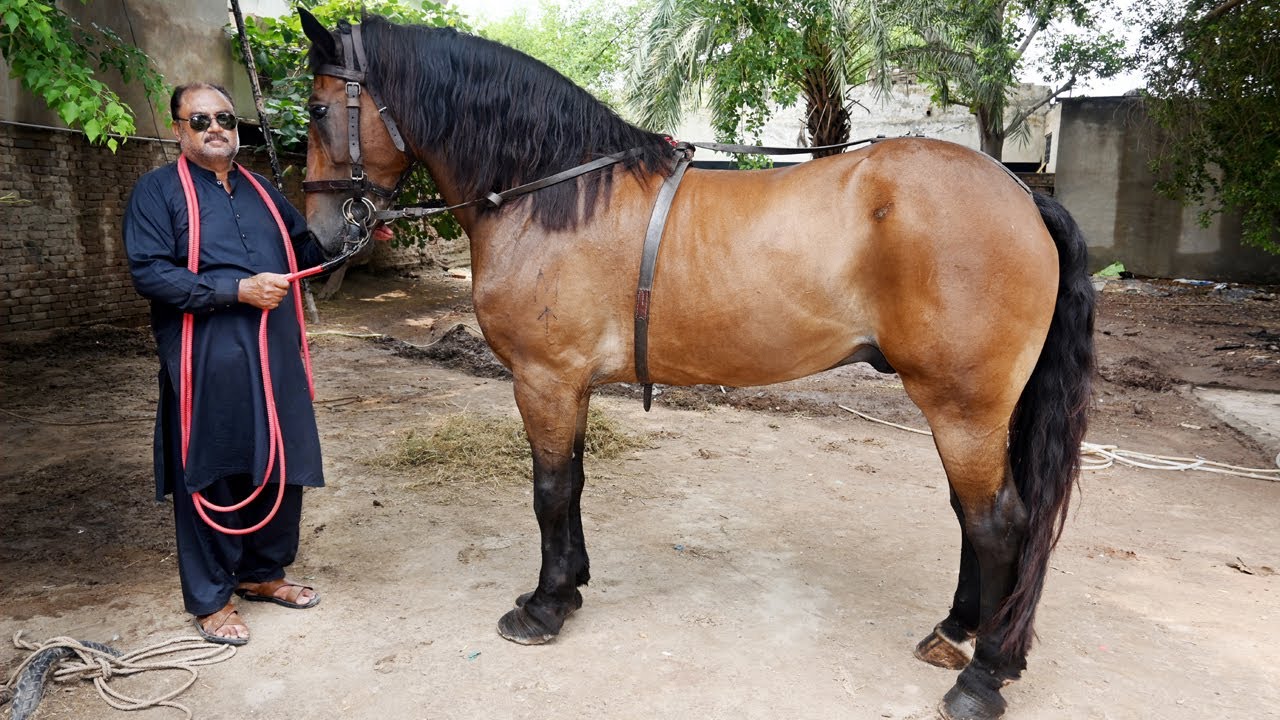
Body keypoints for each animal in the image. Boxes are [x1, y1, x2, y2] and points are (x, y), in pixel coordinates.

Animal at [298, 11, 1094, 719]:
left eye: (315, 107)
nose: (319, 237)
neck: (555, 193)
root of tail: (1022, 193)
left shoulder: (544, 380)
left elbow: (550, 491)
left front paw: (545, 606)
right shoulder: (568, 386)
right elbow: (574, 483)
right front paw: (573, 584)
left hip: (963, 407)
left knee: (998, 523)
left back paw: (984, 675)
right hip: (975, 410)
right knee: (973, 516)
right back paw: (961, 630)